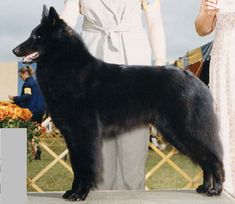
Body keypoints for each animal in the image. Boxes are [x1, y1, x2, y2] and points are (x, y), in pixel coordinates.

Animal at [13, 5, 224, 201]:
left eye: (37, 35)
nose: (14, 50)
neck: (67, 65)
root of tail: (195, 80)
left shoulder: (84, 133)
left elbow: (86, 165)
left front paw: (80, 193)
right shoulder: (71, 136)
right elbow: (77, 166)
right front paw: (73, 191)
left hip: (185, 129)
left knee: (214, 158)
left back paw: (216, 190)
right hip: (177, 133)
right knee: (205, 160)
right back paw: (205, 188)